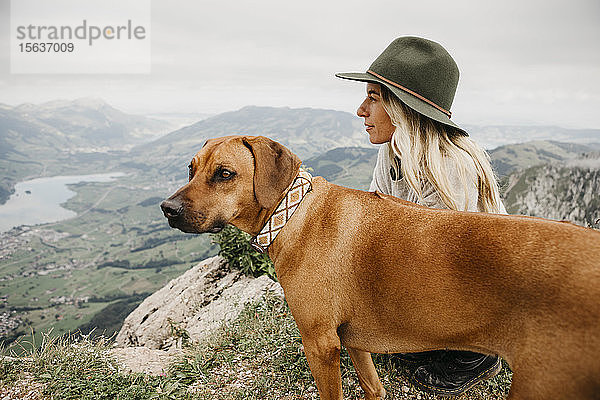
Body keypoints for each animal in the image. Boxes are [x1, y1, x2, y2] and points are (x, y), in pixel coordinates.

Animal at [159, 135, 600, 400]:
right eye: (191, 169)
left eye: (225, 174)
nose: (167, 209)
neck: (293, 212)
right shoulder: (352, 338)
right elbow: (373, 386)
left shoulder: (320, 344)